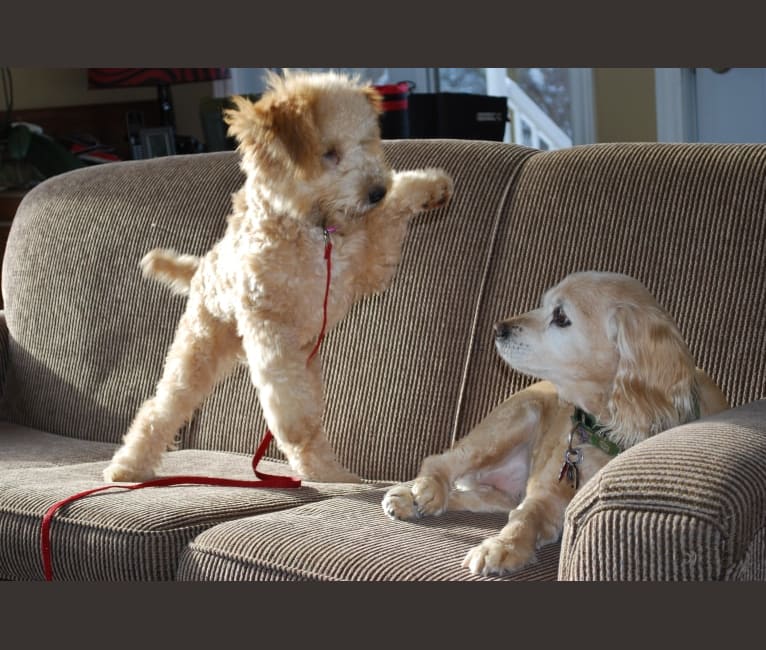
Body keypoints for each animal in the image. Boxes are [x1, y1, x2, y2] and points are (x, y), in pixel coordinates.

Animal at [106, 73, 456, 484]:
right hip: (200, 352)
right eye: (329, 153)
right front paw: (291, 423)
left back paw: (330, 474)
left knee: (309, 436)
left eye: (367, 141)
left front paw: (431, 186)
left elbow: (391, 211)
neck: (316, 233)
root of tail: (202, 268)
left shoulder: (371, 262)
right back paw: (128, 466)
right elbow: (283, 393)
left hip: (305, 362)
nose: (375, 190)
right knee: (159, 410)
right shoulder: (269, 323)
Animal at [388, 270, 728, 576]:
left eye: (561, 316)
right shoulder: (545, 495)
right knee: (441, 461)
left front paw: (502, 548)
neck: (604, 433)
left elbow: (523, 517)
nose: (498, 328)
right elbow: (524, 518)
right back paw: (419, 492)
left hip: (502, 485)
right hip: (515, 419)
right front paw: (502, 546)